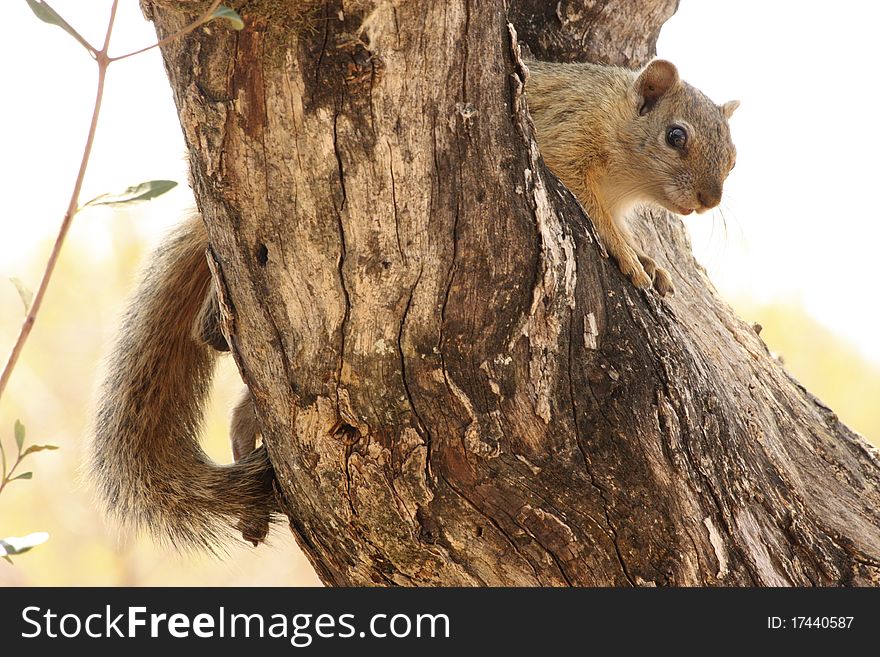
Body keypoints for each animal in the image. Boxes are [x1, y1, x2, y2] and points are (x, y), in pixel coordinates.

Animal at [524, 57, 740, 294]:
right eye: (675, 136)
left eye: (733, 162)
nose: (710, 201)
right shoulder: (567, 132)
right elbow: (597, 212)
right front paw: (624, 251)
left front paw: (644, 257)